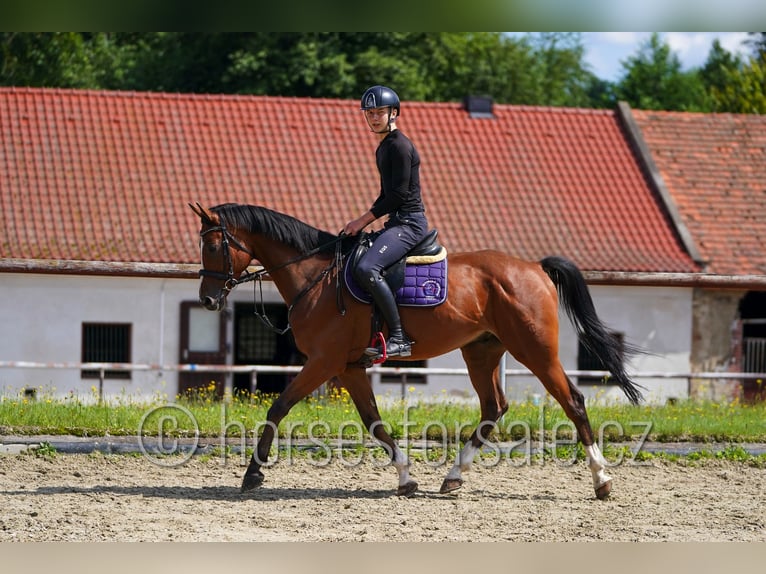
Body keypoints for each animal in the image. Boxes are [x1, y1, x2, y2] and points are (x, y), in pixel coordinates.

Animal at [190, 202, 644, 500]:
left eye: (212, 247)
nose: (208, 300)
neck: (315, 275)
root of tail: (533, 268)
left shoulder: (324, 361)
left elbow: (278, 407)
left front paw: (253, 474)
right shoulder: (349, 366)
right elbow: (373, 421)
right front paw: (406, 478)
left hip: (536, 351)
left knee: (574, 401)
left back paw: (601, 481)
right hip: (481, 352)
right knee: (494, 407)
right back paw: (454, 476)